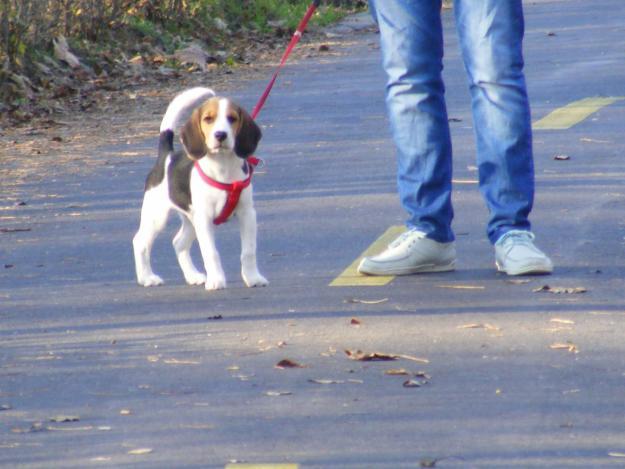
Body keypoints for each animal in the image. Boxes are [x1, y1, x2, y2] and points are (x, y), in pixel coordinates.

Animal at [132, 85, 268, 288]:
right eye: (208, 119)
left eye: (232, 118)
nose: (221, 135)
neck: (223, 167)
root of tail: (167, 156)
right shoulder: (204, 219)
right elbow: (211, 253)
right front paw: (217, 280)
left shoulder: (247, 214)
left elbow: (249, 251)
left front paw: (253, 278)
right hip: (157, 216)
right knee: (140, 242)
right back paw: (147, 278)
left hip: (191, 219)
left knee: (178, 242)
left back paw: (193, 276)